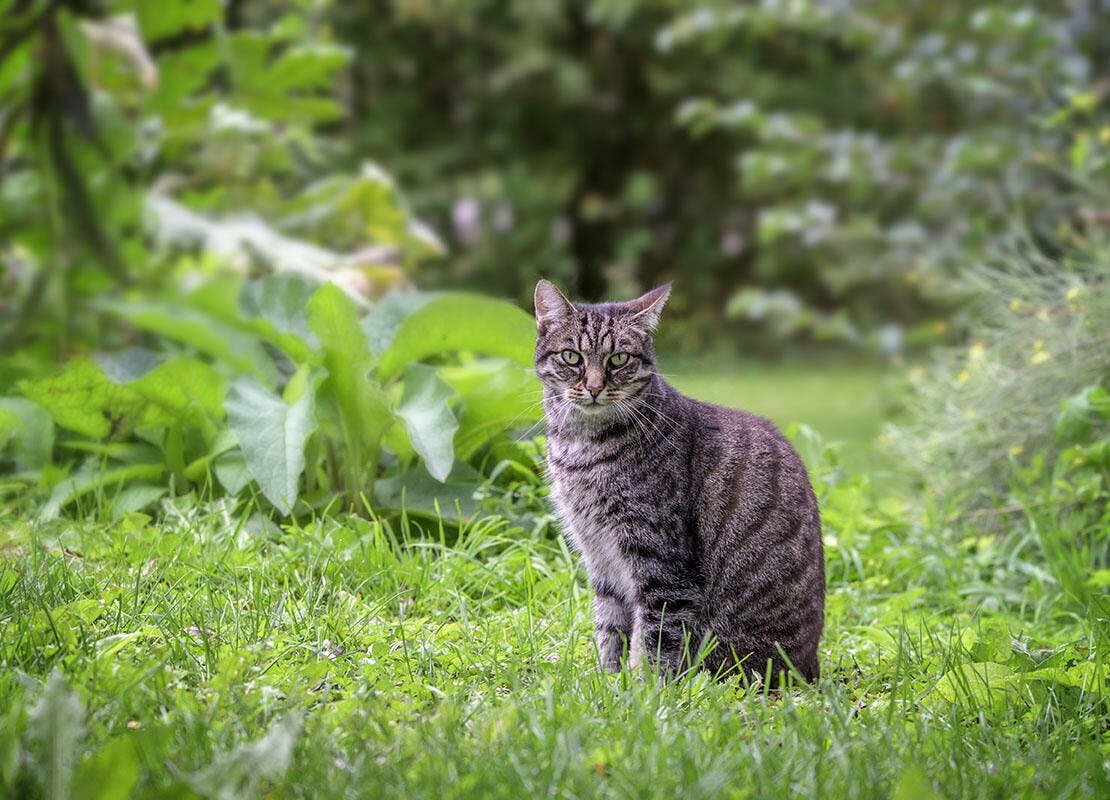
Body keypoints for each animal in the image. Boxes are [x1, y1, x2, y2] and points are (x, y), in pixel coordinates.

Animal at [532, 277, 830, 679]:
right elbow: (610, 628)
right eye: (571, 357)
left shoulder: (661, 564)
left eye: (619, 359)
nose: (594, 387)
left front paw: (643, 688)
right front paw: (608, 681)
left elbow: (656, 640)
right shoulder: (600, 556)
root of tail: (810, 669)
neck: (581, 445)